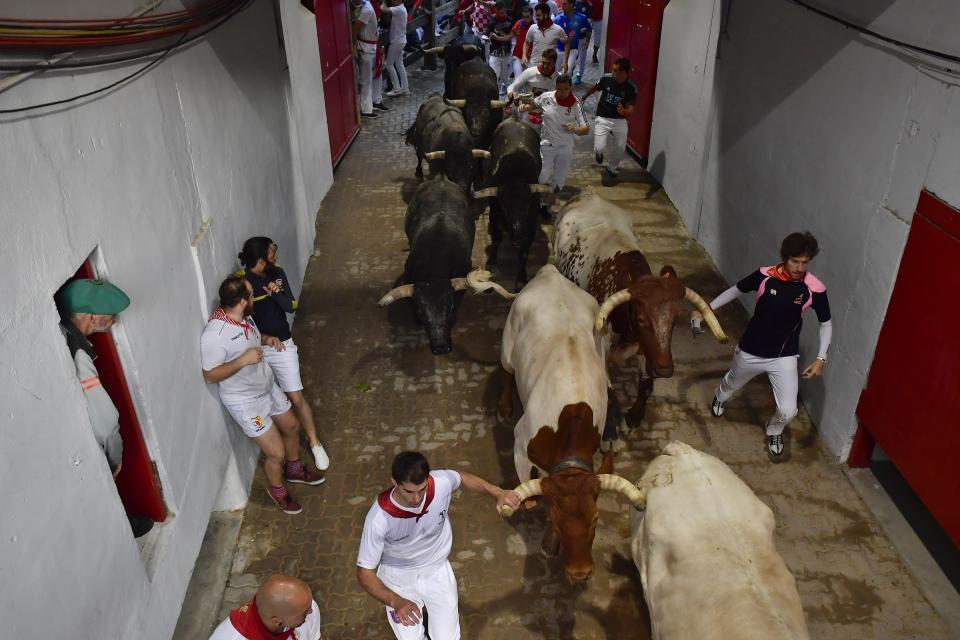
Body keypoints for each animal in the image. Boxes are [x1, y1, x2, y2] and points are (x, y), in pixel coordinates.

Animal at [496, 262, 644, 584]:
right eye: (555, 520)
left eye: (596, 518)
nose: (580, 573)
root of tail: (549, 271)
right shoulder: (520, 445)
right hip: (507, 348)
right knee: (508, 372)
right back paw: (504, 405)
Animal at [552, 192, 724, 428]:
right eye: (641, 319)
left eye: (675, 318)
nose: (665, 370)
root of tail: (587, 194)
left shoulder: (647, 348)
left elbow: (645, 384)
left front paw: (635, 414)